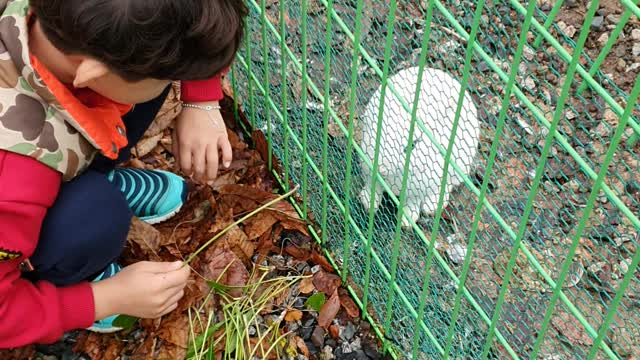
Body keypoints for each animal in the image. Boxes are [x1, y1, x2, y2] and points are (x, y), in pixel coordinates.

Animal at [358, 66, 478, 226]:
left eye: (413, 145)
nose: (379, 167)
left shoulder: (418, 189)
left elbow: (412, 204)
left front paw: (406, 222)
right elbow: (373, 187)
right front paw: (367, 203)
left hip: (461, 166)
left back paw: (433, 206)